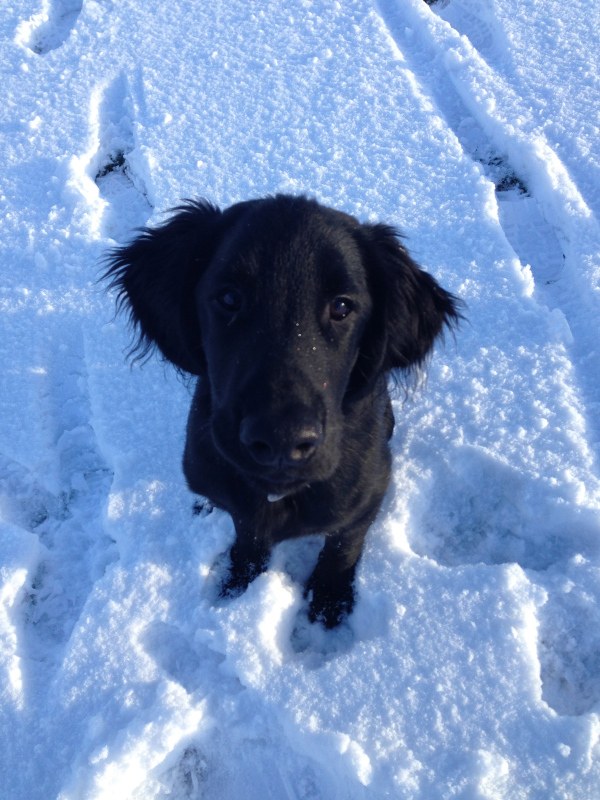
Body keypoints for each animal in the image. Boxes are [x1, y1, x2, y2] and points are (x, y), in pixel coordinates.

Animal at [103, 194, 460, 624]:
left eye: (341, 307)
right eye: (229, 298)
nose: (281, 441)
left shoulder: (371, 491)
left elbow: (342, 545)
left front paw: (328, 601)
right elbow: (249, 532)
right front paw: (240, 583)